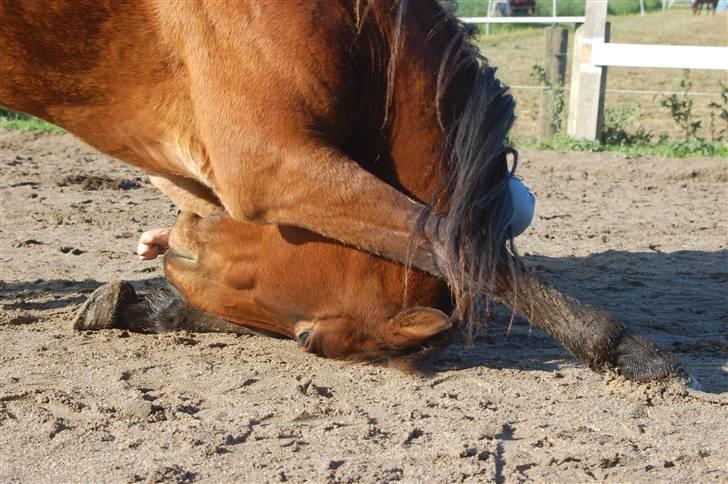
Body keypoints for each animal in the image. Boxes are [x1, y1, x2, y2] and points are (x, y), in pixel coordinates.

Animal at [2, 0, 680, 378]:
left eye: (306, 339)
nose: (180, 249)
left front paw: (141, 304)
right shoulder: (272, 166)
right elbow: (449, 242)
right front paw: (626, 349)